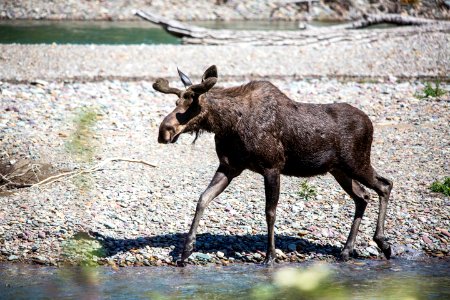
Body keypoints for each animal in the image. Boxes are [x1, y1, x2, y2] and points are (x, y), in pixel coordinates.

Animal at [153, 65, 392, 264]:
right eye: (176, 103)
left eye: (193, 104)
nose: (164, 131)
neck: (227, 124)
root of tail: (370, 124)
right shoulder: (229, 166)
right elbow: (202, 199)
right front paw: (186, 250)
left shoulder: (272, 166)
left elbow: (270, 212)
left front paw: (270, 256)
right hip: (339, 170)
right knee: (363, 197)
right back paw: (346, 250)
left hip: (356, 162)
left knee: (385, 185)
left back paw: (383, 243)